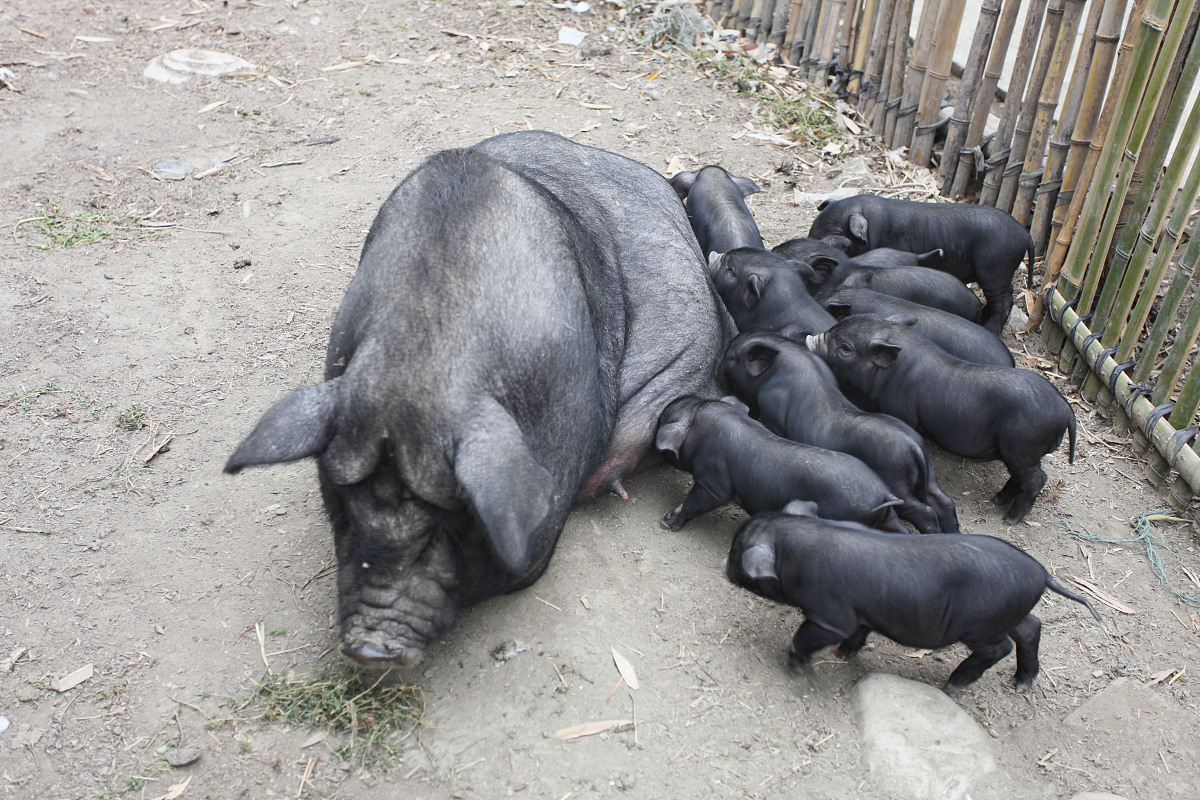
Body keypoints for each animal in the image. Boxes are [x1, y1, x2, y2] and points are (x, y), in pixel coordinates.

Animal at [715, 331, 960, 532]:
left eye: (731, 357)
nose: (718, 365)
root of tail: (914, 446)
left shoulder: (772, 407)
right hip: (928, 476)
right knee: (943, 501)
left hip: (896, 480)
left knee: (924, 510)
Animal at [724, 510, 1099, 690]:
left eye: (737, 551)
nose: (725, 570)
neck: (794, 552)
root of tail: (1041, 573)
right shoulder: (862, 613)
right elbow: (859, 633)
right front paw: (843, 655)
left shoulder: (830, 616)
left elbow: (807, 637)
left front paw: (798, 668)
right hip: (1012, 614)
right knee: (1031, 628)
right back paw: (1020, 684)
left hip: (981, 624)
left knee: (1001, 647)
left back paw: (953, 685)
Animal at [806, 316, 1080, 522]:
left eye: (845, 348)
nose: (811, 338)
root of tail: (1065, 409)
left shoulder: (902, 411)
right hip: (1020, 453)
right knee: (1021, 476)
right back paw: (997, 499)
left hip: (1022, 447)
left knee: (1036, 479)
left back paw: (1009, 518)